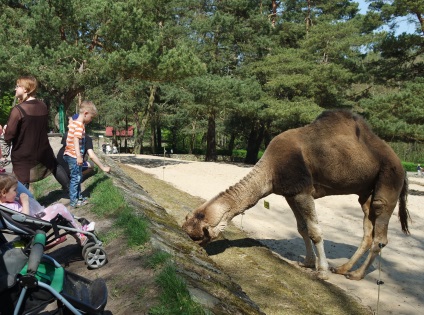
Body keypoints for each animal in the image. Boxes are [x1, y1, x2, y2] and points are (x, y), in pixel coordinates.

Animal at [184, 110, 410, 282]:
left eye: (198, 236)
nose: (195, 248)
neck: (271, 169)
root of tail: (402, 165)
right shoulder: (290, 194)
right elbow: (302, 228)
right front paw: (307, 263)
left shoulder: (302, 190)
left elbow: (315, 231)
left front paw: (322, 272)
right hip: (365, 191)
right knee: (367, 228)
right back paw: (343, 269)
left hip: (389, 179)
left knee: (380, 230)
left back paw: (356, 275)